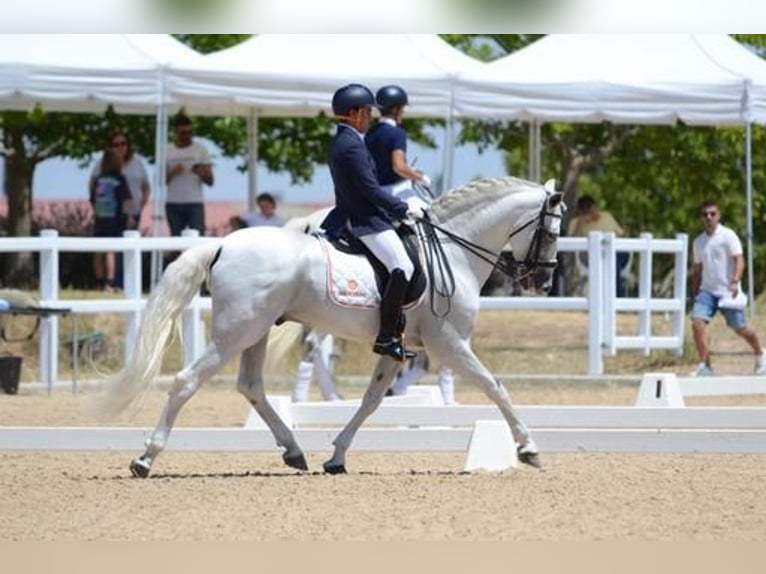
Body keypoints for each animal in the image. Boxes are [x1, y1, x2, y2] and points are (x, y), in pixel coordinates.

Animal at [103, 178, 564, 480]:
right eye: (551, 230)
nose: (542, 282)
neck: (453, 250)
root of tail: (223, 243)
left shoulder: (397, 346)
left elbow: (371, 401)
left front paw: (337, 457)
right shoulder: (448, 342)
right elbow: (495, 386)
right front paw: (529, 449)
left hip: (257, 330)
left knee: (250, 385)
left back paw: (294, 452)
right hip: (236, 331)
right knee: (186, 381)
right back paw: (145, 459)